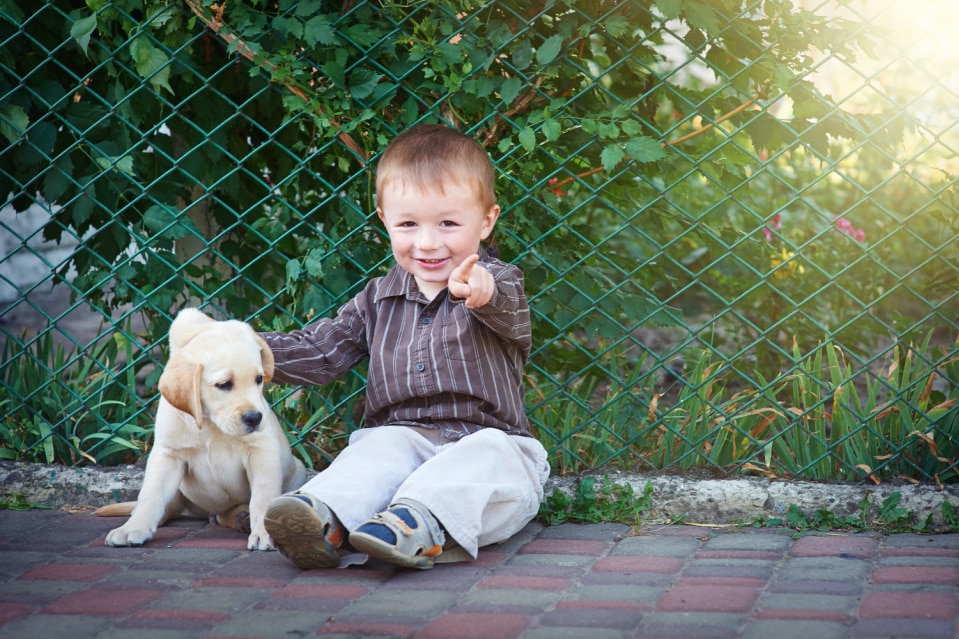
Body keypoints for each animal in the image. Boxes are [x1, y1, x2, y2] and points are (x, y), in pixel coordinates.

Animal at [95, 308, 306, 552]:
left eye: (259, 379)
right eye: (224, 384)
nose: (255, 418)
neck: (210, 425)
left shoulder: (261, 453)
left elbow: (262, 498)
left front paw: (264, 533)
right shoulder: (167, 455)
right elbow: (151, 495)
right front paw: (132, 528)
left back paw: (242, 517)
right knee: (171, 508)